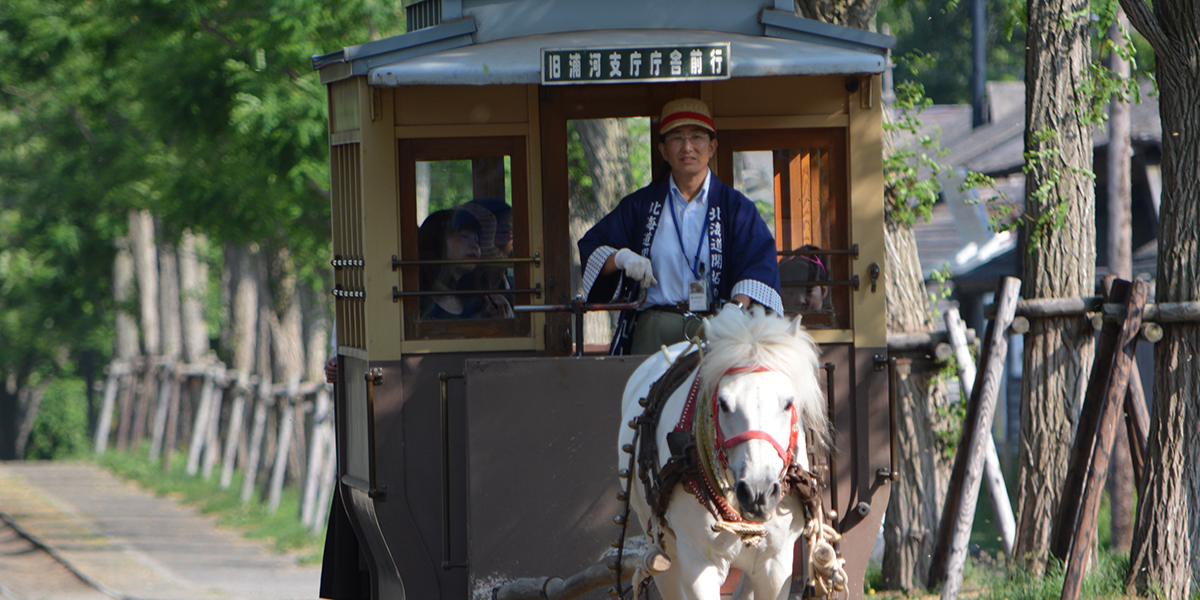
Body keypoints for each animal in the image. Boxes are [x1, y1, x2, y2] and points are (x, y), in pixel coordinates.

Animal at [619, 307, 835, 597]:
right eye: (722, 403)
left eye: (788, 403)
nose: (758, 491)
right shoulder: (698, 564)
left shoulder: (776, 566)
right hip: (660, 543)